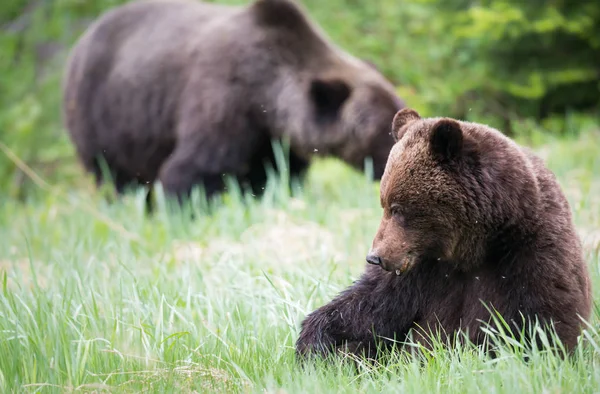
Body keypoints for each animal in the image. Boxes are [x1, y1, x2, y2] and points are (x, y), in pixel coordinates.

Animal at [61, 0, 404, 205]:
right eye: (382, 130)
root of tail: (81, 41)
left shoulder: (273, 139)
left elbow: (276, 175)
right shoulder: (223, 100)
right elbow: (193, 168)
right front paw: (188, 207)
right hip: (103, 116)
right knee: (114, 176)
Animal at [296, 109, 592, 362]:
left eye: (397, 208)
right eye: (384, 204)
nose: (374, 257)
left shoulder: (530, 253)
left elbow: (544, 322)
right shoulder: (422, 269)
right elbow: (373, 303)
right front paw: (313, 344)